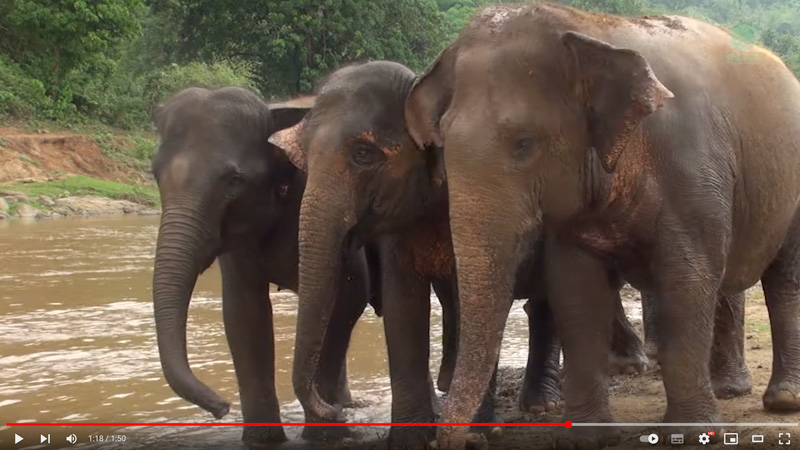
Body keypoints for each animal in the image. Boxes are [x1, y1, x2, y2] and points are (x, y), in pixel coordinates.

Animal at [150, 85, 376, 446]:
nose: (222, 407)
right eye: (155, 175)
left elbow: (351, 294)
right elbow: (243, 312)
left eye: (233, 180)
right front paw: (263, 440)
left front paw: (325, 435)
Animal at [268, 61, 648, 448]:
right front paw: (409, 440)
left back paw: (543, 404)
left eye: (363, 154)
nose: (337, 411)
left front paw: (474, 434)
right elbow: (402, 306)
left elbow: (471, 305)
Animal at [406, 3, 792, 450]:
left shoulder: (692, 168)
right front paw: (589, 437)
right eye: (442, 146)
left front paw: (691, 433)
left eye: (524, 143)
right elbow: (577, 290)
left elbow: (687, 279)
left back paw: (781, 400)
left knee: (784, 278)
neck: (587, 26)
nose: (467, 441)